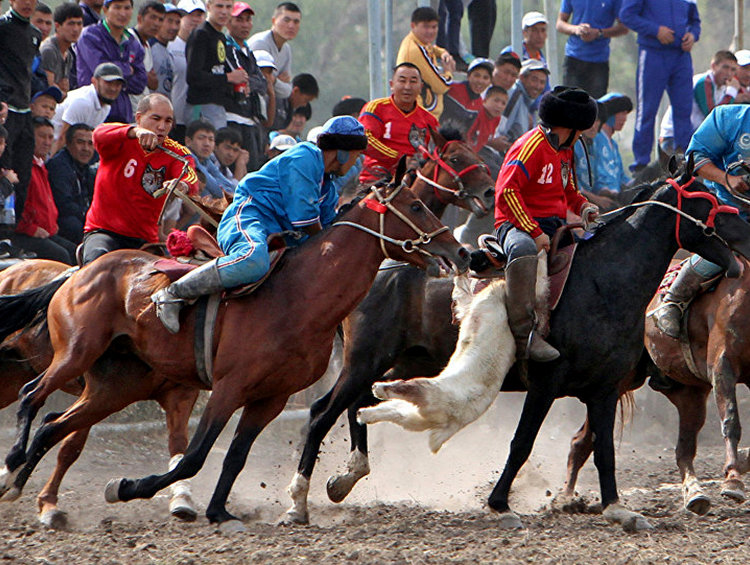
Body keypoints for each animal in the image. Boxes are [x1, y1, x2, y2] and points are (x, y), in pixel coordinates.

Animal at [0, 174, 469, 532]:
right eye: (416, 205)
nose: (461, 251)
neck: (297, 297)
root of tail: (77, 274)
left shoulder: (270, 398)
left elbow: (235, 457)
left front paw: (218, 510)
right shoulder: (228, 388)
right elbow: (193, 457)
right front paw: (127, 487)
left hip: (114, 387)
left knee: (53, 426)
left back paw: (22, 486)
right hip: (76, 353)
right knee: (32, 396)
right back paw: (12, 465)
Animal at [344, 164, 750, 531]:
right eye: (707, 199)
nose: (746, 234)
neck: (601, 283)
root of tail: (384, 266)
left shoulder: (605, 388)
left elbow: (604, 450)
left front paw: (616, 508)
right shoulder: (544, 385)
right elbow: (522, 443)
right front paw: (499, 504)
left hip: (410, 362)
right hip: (368, 360)